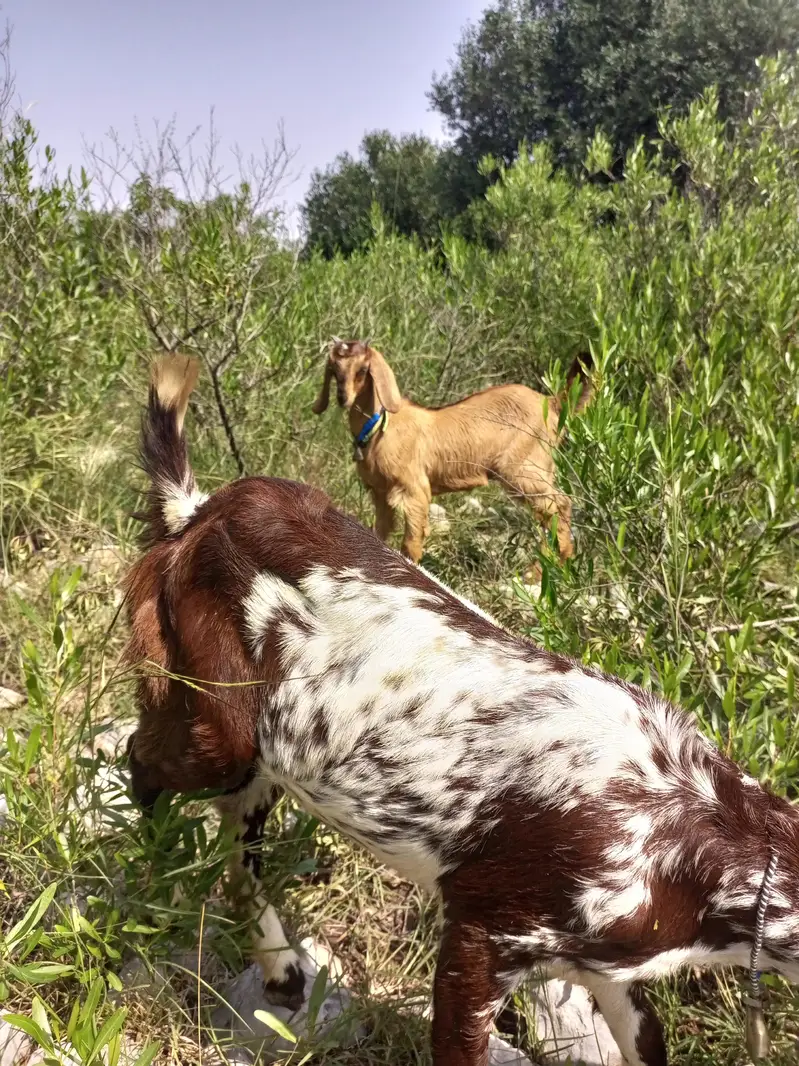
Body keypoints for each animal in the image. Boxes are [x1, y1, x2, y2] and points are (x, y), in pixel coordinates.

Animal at [311, 340, 592, 567]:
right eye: (334, 370)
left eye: (362, 370)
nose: (342, 398)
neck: (381, 427)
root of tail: (553, 404)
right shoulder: (380, 494)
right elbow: (378, 533)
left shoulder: (414, 491)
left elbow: (411, 542)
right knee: (550, 513)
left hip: (525, 469)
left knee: (560, 504)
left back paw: (549, 567)